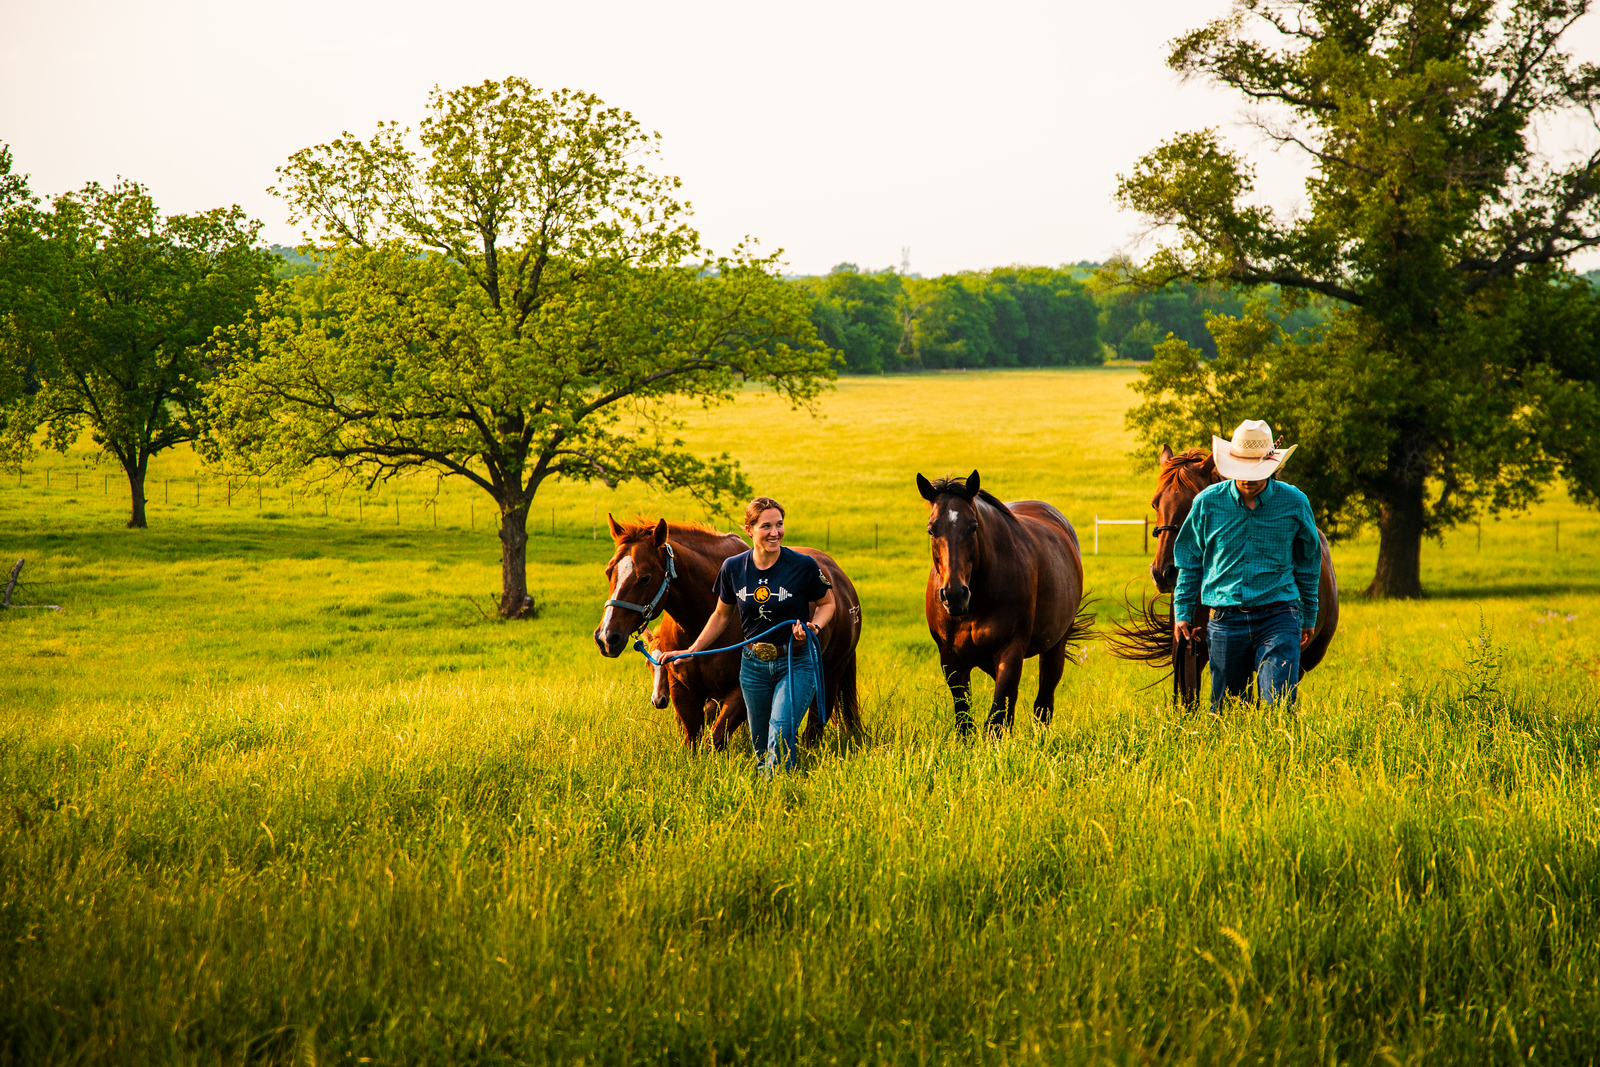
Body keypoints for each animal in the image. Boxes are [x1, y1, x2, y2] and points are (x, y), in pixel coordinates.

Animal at [921, 473, 1094, 735]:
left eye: (973, 527)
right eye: (931, 530)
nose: (955, 595)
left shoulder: (1010, 649)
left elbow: (997, 720)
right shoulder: (950, 658)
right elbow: (965, 721)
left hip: (1055, 646)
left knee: (1043, 703)